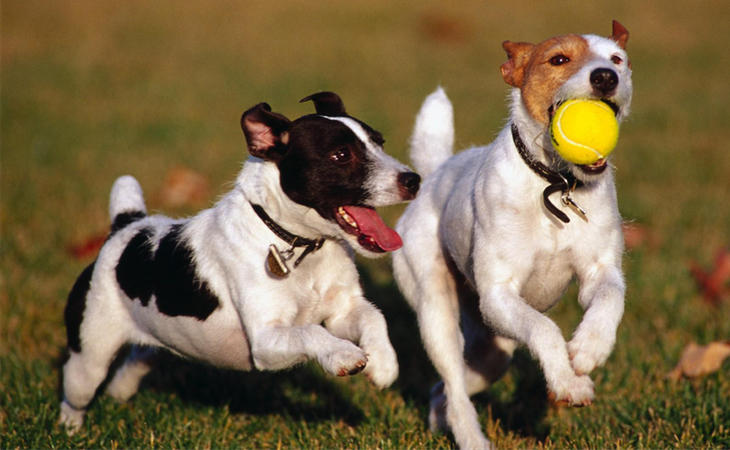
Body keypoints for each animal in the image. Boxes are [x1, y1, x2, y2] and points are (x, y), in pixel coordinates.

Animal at [59, 92, 418, 432]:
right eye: (341, 155)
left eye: (380, 142)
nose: (413, 180)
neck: (298, 244)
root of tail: (126, 225)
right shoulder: (266, 341)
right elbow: (311, 332)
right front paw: (343, 354)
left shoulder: (341, 312)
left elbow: (374, 318)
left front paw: (384, 364)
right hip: (90, 355)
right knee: (76, 392)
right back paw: (70, 428)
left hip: (156, 336)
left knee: (138, 357)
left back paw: (119, 392)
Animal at [396, 22, 628, 450]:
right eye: (558, 59)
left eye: (618, 59)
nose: (606, 76)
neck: (554, 183)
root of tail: (436, 173)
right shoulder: (499, 294)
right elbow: (545, 329)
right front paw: (568, 382)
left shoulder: (599, 270)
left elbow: (608, 299)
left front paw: (589, 350)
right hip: (437, 311)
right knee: (453, 385)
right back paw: (471, 438)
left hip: (493, 346)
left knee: (447, 389)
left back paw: (439, 419)